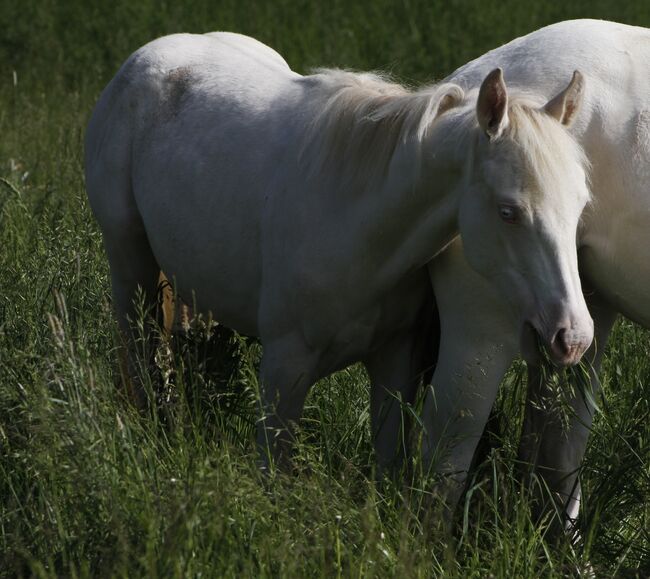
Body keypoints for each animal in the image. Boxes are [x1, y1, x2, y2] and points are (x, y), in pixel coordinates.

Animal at [86, 30, 592, 466]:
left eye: (581, 205)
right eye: (508, 211)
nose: (573, 337)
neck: (360, 228)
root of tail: (156, 52)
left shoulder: (394, 365)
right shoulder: (284, 372)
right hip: (130, 266)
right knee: (140, 351)